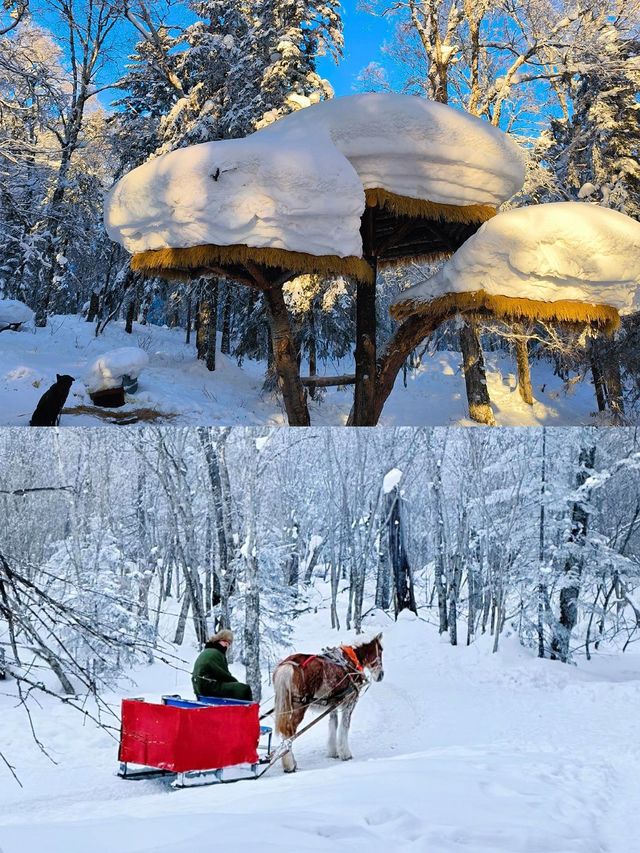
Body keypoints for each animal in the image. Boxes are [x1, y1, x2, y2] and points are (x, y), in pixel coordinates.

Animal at [272, 632, 382, 772]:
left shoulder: (333, 704)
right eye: (381, 650)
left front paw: (333, 752)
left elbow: (333, 725)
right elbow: (344, 726)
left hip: (285, 704)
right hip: (300, 705)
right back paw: (290, 765)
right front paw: (346, 754)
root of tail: (288, 666)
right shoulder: (349, 702)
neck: (351, 660)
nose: (381, 675)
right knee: (289, 731)